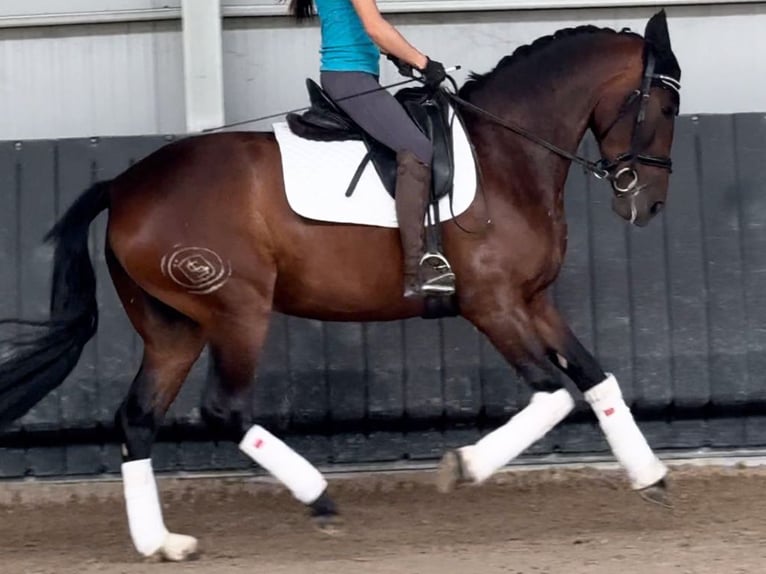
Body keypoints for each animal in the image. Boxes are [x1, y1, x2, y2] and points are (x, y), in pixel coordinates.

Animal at [0, 11, 684, 564]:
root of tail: (121, 187)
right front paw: (463, 466)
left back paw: (161, 543)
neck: (505, 154)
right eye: (666, 109)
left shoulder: (534, 301)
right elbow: (553, 394)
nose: (648, 204)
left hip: (176, 328)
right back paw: (319, 498)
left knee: (138, 417)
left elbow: (595, 378)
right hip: (237, 309)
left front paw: (650, 476)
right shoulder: (491, 304)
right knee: (223, 407)